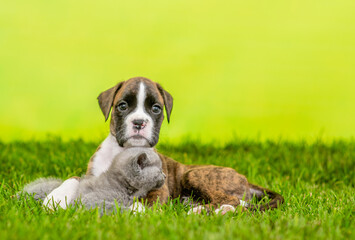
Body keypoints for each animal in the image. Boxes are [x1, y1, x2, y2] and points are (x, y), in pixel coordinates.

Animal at [44, 76, 284, 213]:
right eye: (122, 106)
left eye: (156, 108)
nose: (139, 122)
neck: (125, 152)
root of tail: (246, 179)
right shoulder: (93, 175)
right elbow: (73, 179)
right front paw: (54, 199)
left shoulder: (159, 188)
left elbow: (145, 201)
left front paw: (134, 211)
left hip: (194, 175)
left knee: (233, 201)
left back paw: (205, 211)